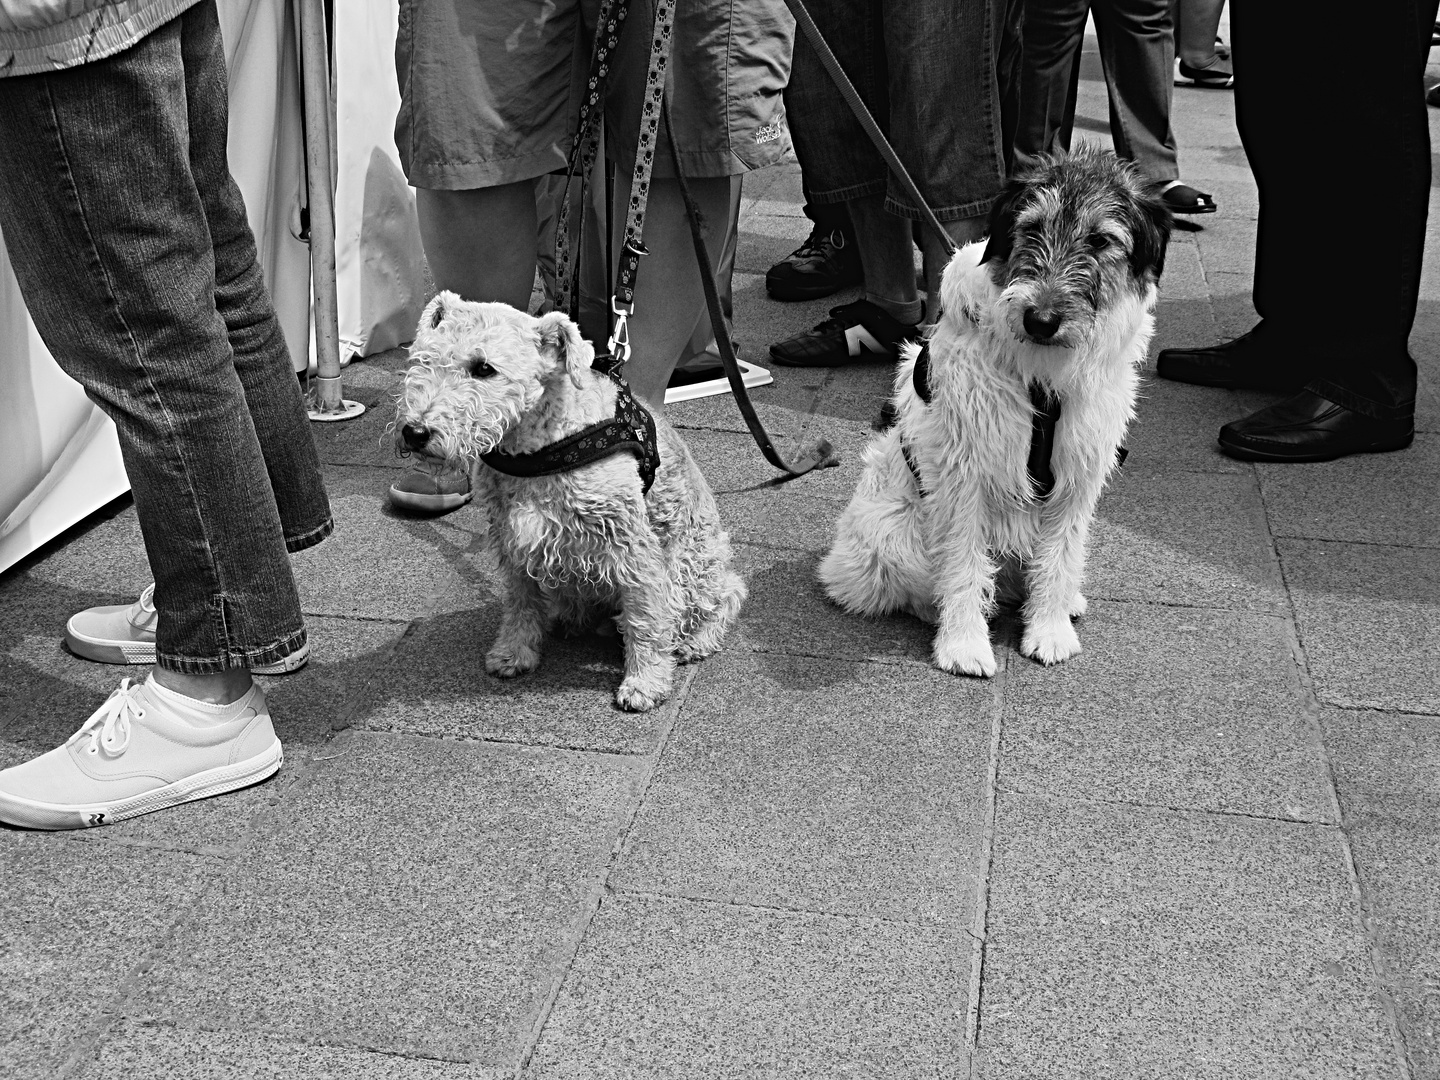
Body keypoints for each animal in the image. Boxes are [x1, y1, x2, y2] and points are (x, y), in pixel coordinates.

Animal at [400, 293, 748, 711]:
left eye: (484, 368)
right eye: (423, 359)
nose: (415, 432)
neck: (540, 446)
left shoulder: (634, 548)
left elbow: (646, 618)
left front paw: (644, 683)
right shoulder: (514, 540)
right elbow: (520, 604)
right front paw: (513, 653)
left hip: (692, 566)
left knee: (727, 594)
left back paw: (694, 641)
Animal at [823, 146, 1169, 676]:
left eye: (1101, 240)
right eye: (1031, 228)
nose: (1041, 319)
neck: (1042, 378)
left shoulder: (1078, 475)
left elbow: (1059, 558)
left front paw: (1049, 630)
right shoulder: (964, 475)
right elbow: (963, 564)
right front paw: (963, 644)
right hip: (892, 530)